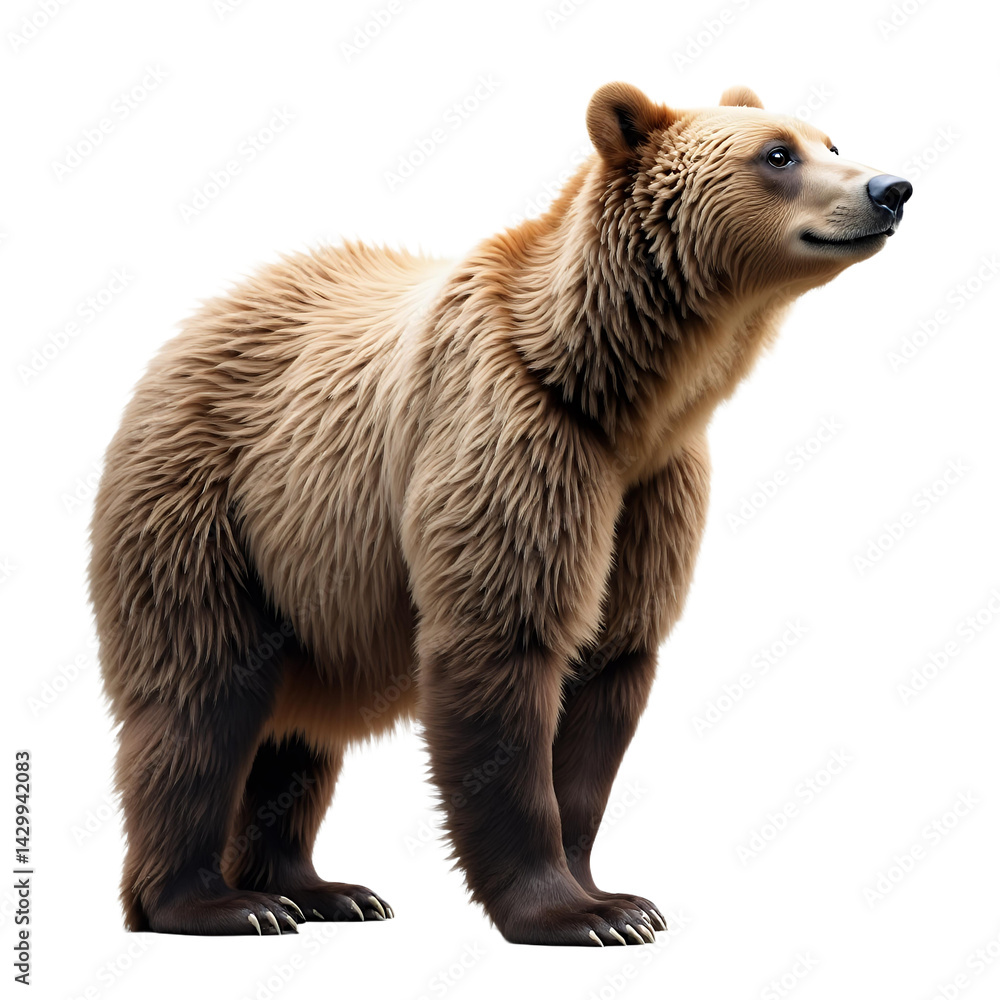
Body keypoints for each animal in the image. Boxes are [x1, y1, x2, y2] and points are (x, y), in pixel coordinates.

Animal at [89, 82, 911, 946]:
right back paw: (215, 902)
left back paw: (319, 890)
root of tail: (198, 320)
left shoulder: (649, 493)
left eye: (829, 139)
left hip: (308, 572)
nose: (891, 188)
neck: (621, 395)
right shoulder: (515, 435)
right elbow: (504, 647)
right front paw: (576, 913)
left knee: (297, 733)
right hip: (204, 505)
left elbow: (608, 673)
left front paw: (616, 896)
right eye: (778, 154)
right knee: (199, 696)